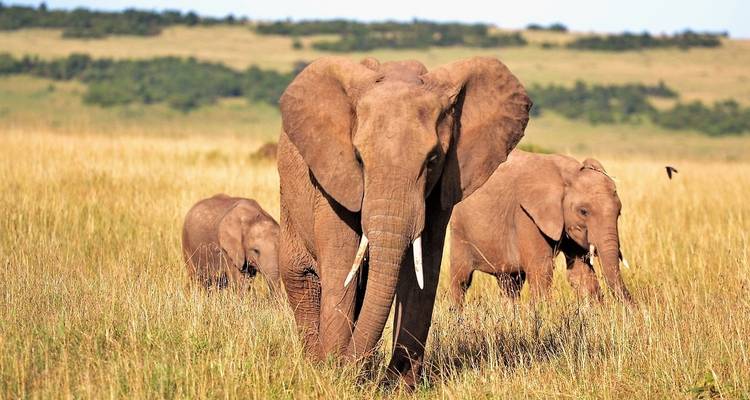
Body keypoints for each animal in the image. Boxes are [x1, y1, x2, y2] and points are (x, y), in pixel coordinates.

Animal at [276, 56, 531, 386]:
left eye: (433, 159)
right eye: (358, 158)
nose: (346, 367)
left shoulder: (442, 187)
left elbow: (423, 270)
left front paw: (398, 385)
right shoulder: (333, 178)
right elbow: (342, 263)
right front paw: (335, 374)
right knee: (301, 277)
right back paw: (316, 364)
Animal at [449, 150, 633, 307]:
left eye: (619, 212)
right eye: (583, 211)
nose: (633, 309)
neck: (567, 174)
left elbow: (580, 273)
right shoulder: (526, 214)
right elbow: (541, 270)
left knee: (510, 283)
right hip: (459, 229)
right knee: (461, 280)